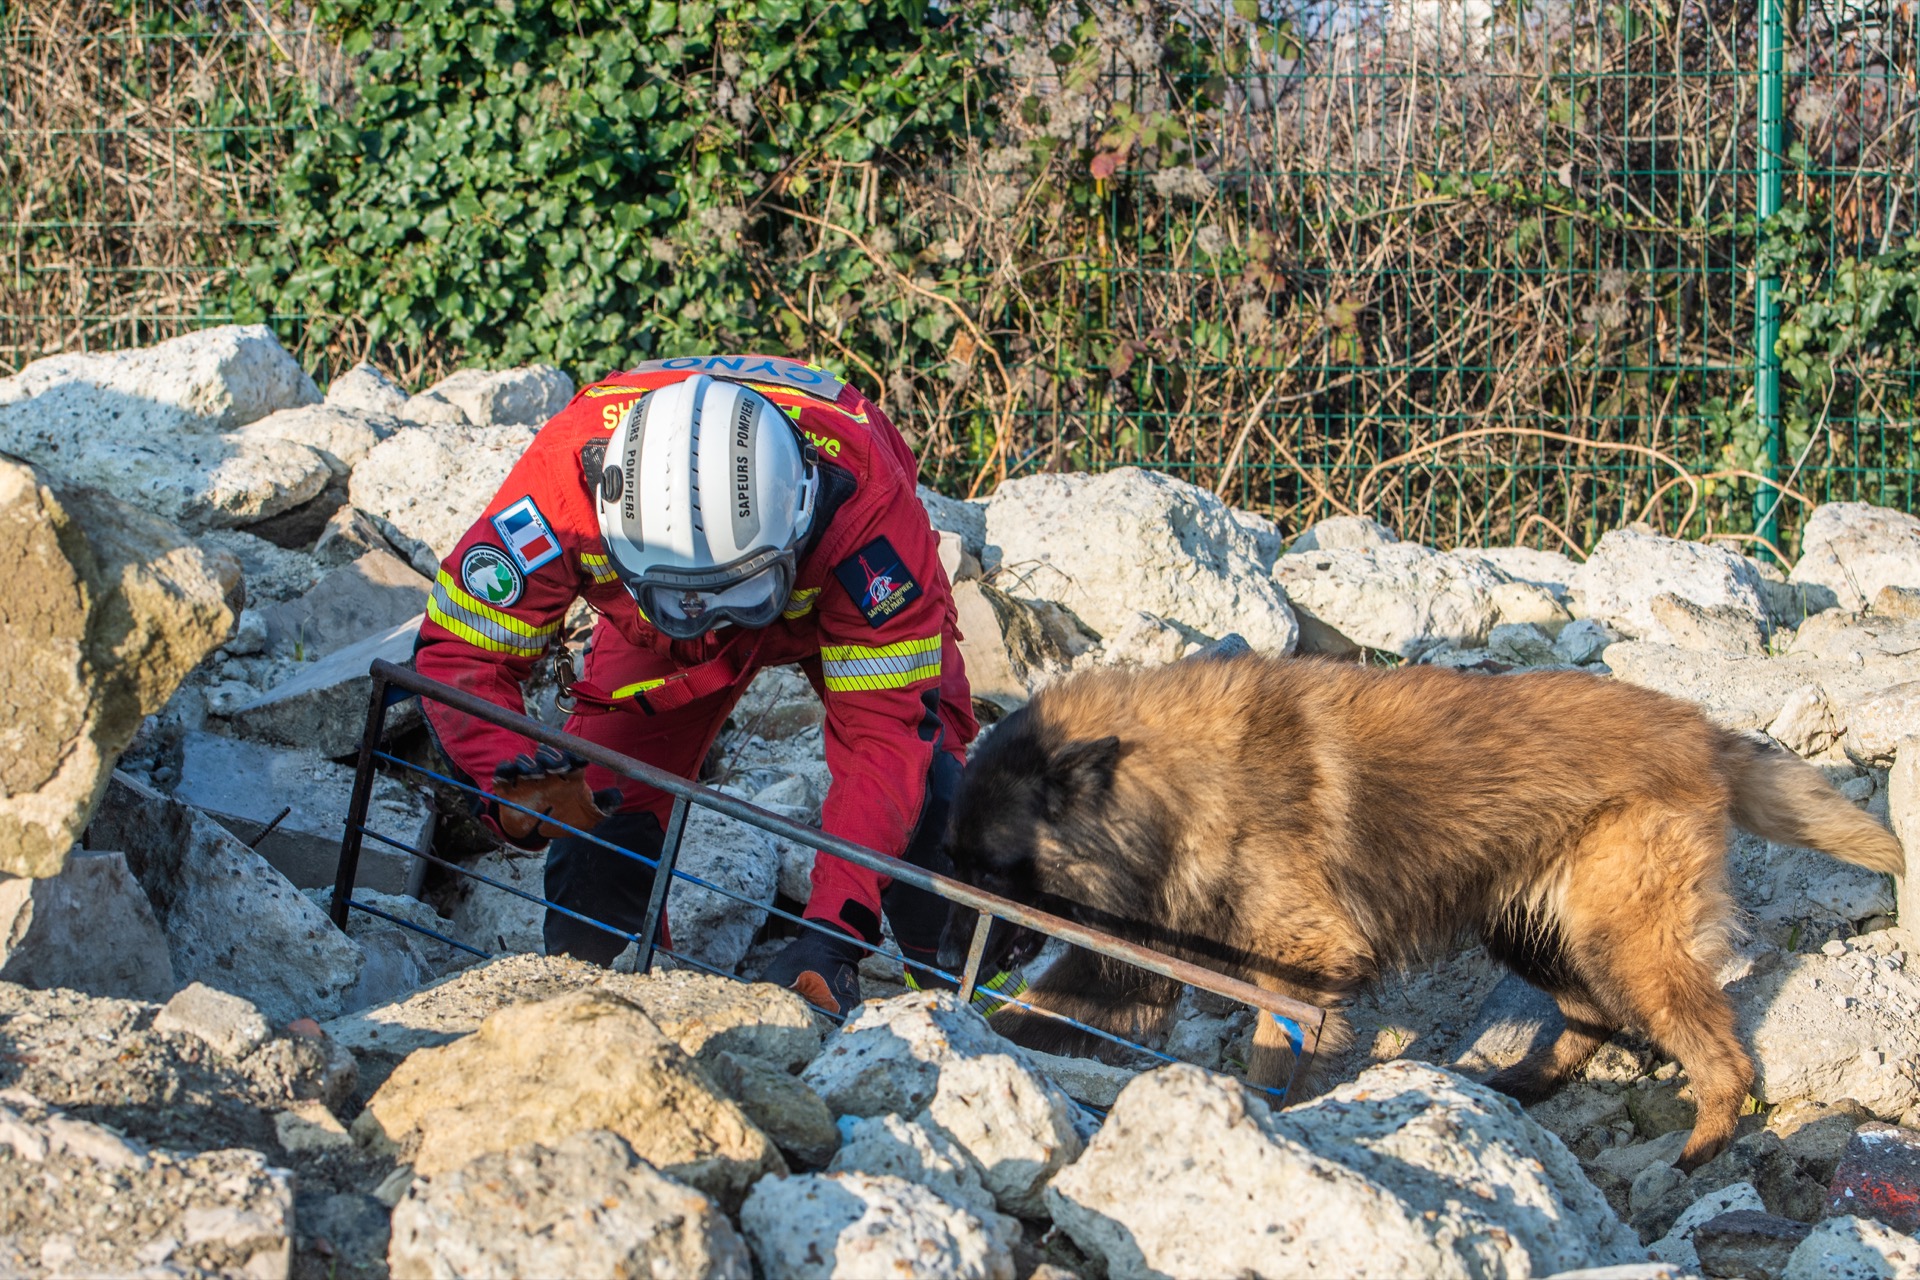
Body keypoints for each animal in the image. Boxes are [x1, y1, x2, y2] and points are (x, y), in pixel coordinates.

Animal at [940, 660, 1904, 1174]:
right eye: (958, 863)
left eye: (990, 869)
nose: (951, 943)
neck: (1169, 788)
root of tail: (1702, 732)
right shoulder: (1131, 958)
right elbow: (1039, 1013)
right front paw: (953, 1035)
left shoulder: (1301, 969)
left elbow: (1268, 1060)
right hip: (1533, 931)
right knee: (1591, 1017)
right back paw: (1516, 1085)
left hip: (1623, 941)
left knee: (1719, 1050)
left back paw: (1702, 1147)